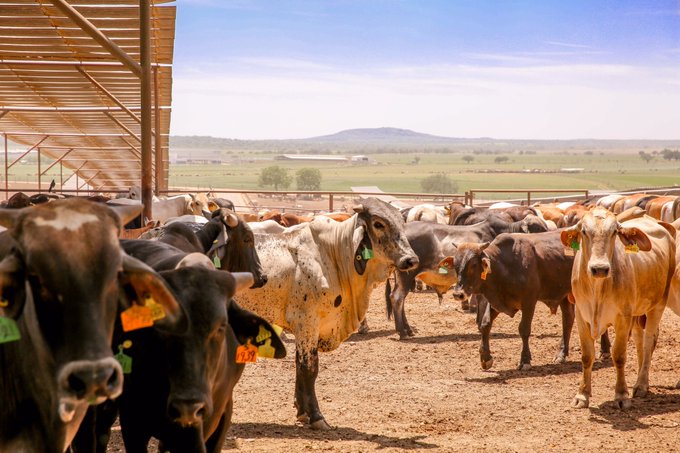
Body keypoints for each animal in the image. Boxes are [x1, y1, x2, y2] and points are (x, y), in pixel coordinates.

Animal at [234, 197, 418, 428]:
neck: (334, 253)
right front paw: (316, 416)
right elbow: (309, 368)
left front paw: (302, 411)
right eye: (378, 224)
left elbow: (300, 366)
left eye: (402, 223)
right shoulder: (306, 322)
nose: (411, 259)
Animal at [564, 208, 676, 410]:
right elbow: (587, 356)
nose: (599, 268)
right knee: (640, 340)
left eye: (614, 232)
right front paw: (582, 395)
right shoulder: (581, 316)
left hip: (657, 305)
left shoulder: (623, 318)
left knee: (649, 341)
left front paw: (621, 395)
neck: (597, 289)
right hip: (637, 312)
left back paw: (641, 384)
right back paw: (641, 380)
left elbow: (619, 355)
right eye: (584, 231)